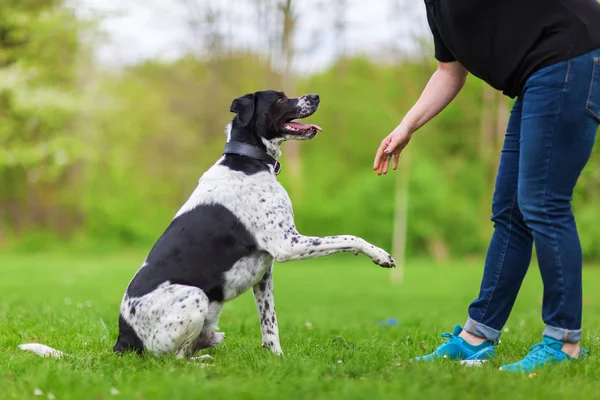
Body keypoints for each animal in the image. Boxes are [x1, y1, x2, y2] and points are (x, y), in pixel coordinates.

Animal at [18, 90, 394, 360]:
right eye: (280, 98)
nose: (315, 96)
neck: (247, 161)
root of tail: (122, 341)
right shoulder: (287, 244)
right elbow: (350, 237)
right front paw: (380, 255)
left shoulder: (266, 272)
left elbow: (269, 326)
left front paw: (277, 360)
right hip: (194, 297)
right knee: (171, 360)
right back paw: (199, 362)